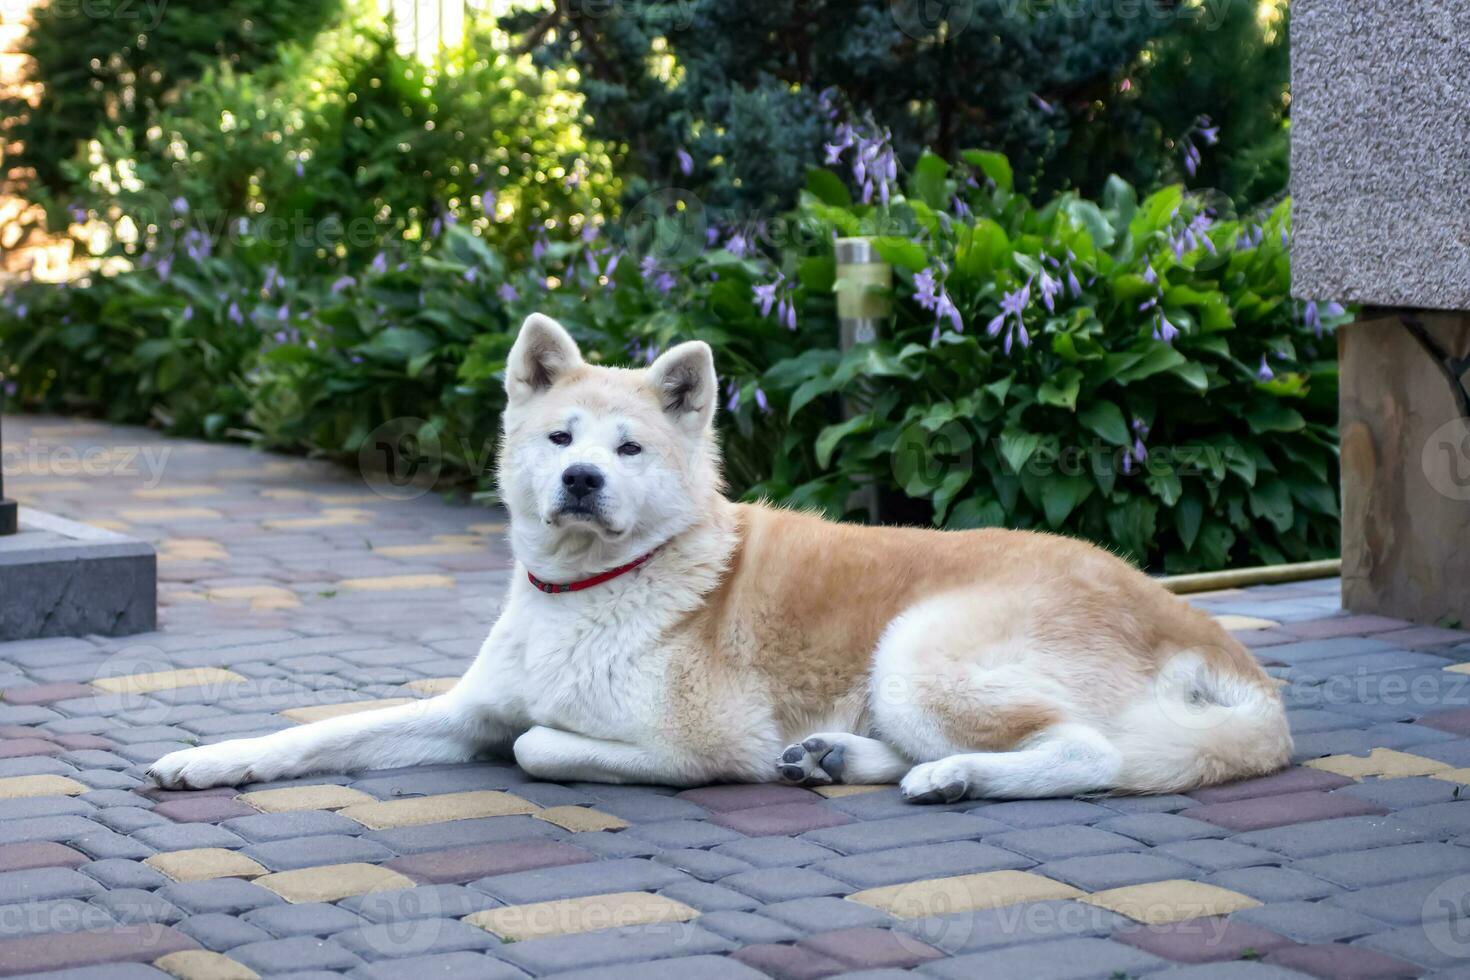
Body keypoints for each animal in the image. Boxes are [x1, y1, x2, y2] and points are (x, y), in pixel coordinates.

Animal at [155, 315, 1293, 805]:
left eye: (629, 452)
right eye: (562, 439)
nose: (581, 482)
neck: (596, 584)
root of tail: (1198, 620)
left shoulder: (691, 736)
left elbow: (540, 747)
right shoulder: (463, 710)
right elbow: (323, 732)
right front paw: (209, 757)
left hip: (920, 651)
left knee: (1088, 755)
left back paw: (953, 775)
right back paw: (839, 757)